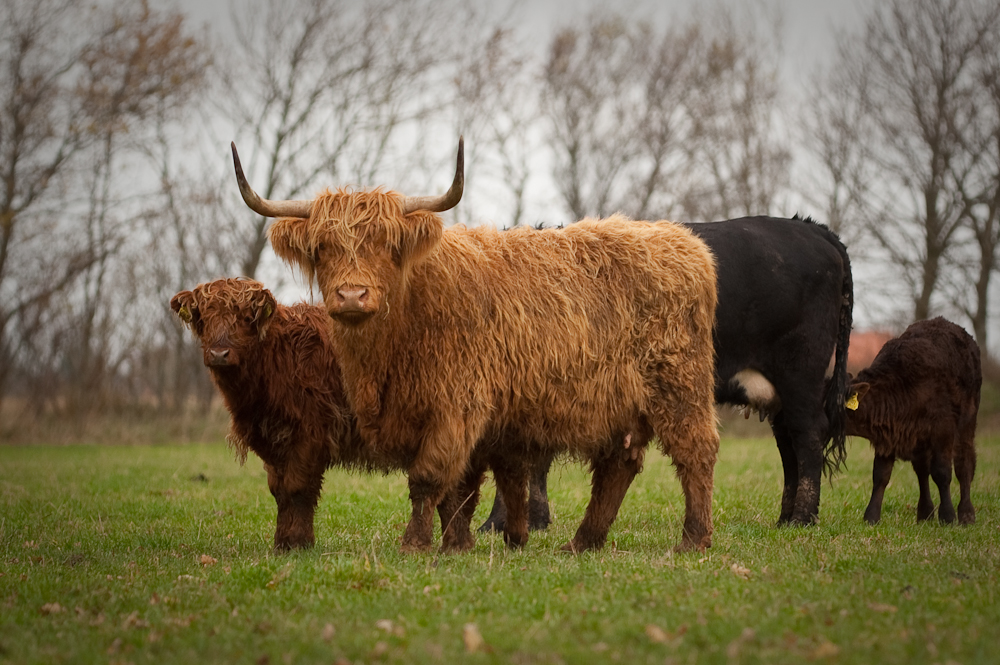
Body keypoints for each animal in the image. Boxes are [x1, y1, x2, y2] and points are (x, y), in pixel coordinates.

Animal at [231, 137, 724, 552]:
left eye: (386, 245)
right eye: (322, 247)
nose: (352, 295)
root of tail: (685, 243)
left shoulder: (458, 403)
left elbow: (429, 478)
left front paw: (415, 543)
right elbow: (459, 489)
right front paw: (457, 544)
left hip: (679, 386)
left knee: (696, 452)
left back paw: (693, 539)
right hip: (619, 404)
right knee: (617, 466)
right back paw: (582, 542)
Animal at [482, 214, 852, 528]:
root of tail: (811, 228)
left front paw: (502, 522)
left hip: (801, 372)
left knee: (808, 435)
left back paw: (802, 518)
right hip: (779, 391)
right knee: (789, 444)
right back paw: (785, 518)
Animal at [844, 316, 976, 524]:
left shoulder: (943, 428)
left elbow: (942, 472)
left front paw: (947, 516)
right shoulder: (887, 434)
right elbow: (880, 475)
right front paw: (871, 516)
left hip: (967, 423)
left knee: (964, 464)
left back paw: (966, 513)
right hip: (920, 443)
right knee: (922, 470)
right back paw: (925, 512)